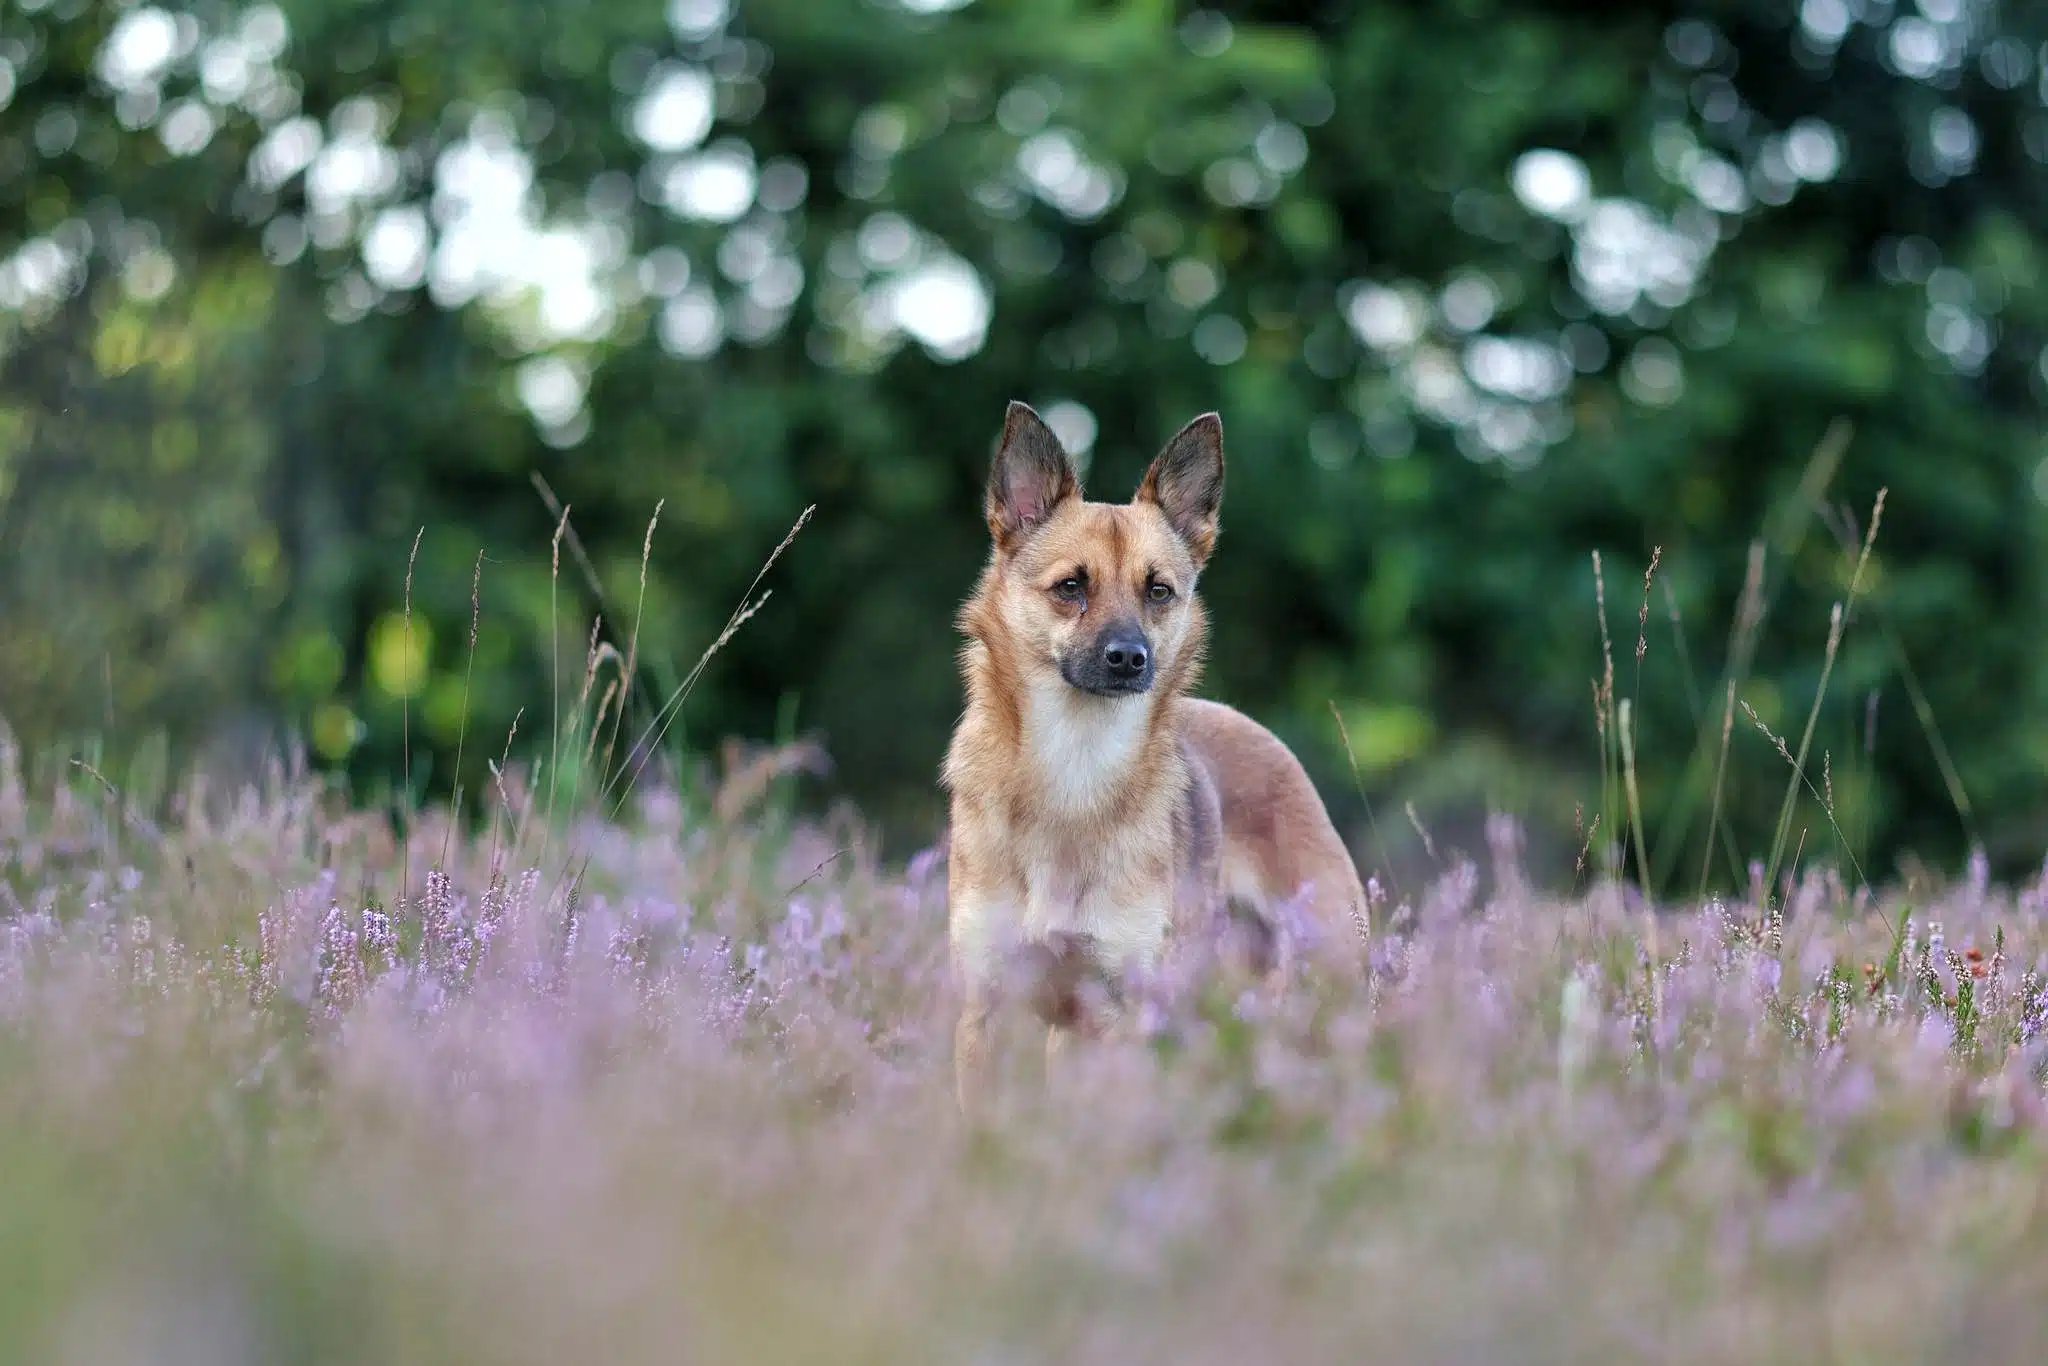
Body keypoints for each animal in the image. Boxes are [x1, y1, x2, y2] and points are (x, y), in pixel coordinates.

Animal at [946, 401, 1376, 1114]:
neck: (1076, 766)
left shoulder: (1121, 1011)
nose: (1129, 658)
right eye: (1070, 587)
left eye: (1159, 592)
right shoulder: (987, 1008)